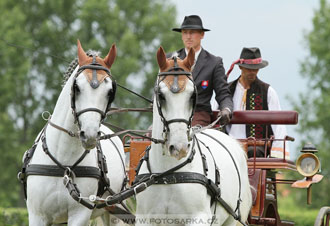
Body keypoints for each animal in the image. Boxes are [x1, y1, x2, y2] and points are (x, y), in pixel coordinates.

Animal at [22, 39, 126, 225]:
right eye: (77, 87)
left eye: (110, 92)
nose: (90, 135)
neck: (65, 164)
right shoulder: (37, 215)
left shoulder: (80, 214)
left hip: (114, 209)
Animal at [135, 46, 251, 225]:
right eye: (160, 95)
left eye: (192, 95)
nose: (179, 147)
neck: (169, 174)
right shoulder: (144, 219)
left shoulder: (198, 218)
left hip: (232, 219)